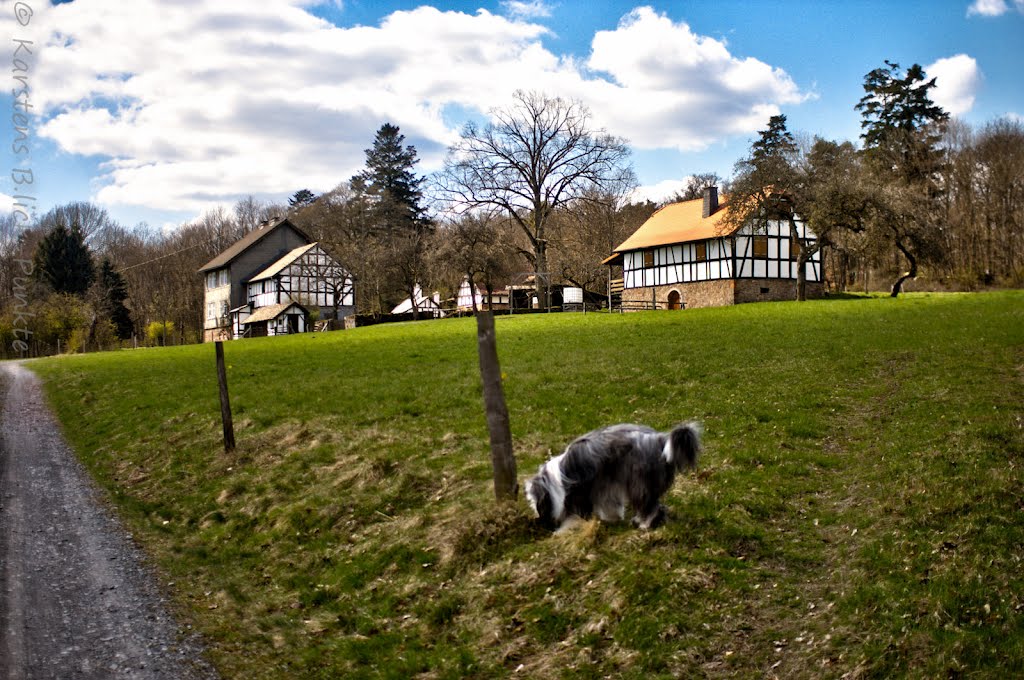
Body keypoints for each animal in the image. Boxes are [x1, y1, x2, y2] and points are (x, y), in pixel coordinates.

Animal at [524, 426, 700, 532]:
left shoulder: (580, 494)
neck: (552, 482)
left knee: (649, 506)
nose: (542, 522)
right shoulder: (605, 486)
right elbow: (610, 505)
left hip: (639, 482)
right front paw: (612, 519)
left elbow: (577, 513)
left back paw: (644, 524)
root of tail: (660, 440)